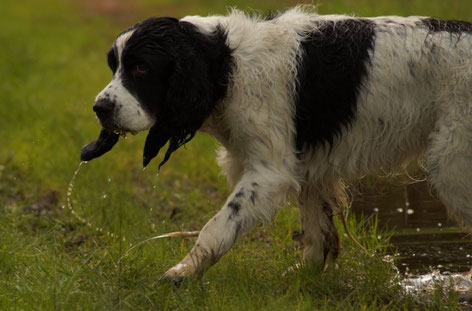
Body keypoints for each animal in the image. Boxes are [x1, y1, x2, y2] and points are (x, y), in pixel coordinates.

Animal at [85, 5, 472, 282]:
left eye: (140, 69)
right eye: (114, 66)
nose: (99, 108)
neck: (227, 66)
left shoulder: (269, 173)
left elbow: (218, 226)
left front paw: (180, 274)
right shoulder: (308, 167)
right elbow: (317, 232)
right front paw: (305, 279)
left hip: (453, 166)